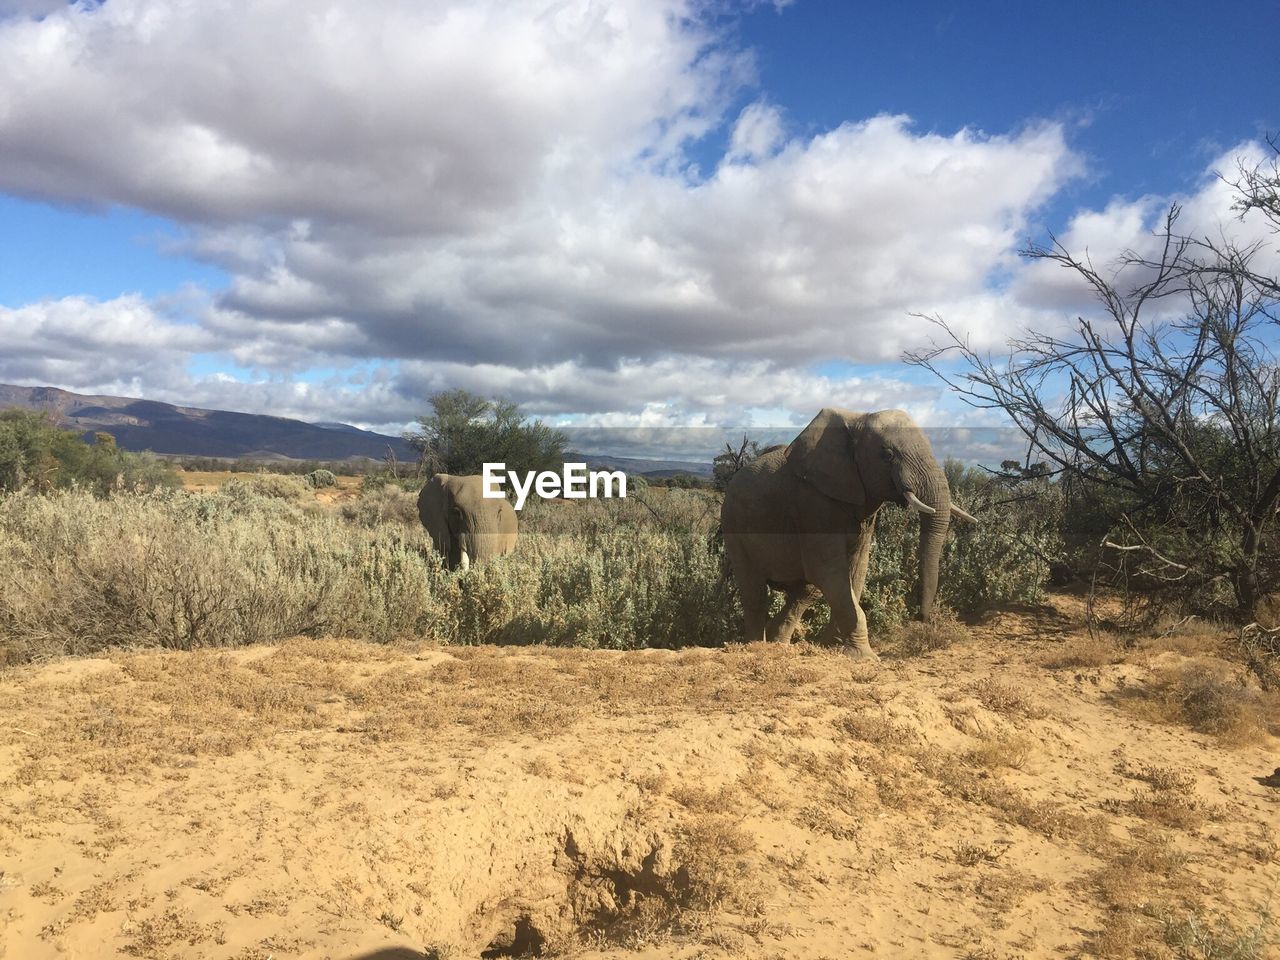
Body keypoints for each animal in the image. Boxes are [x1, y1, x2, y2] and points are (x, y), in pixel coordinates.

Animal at [721, 407, 977, 660]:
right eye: (888, 454)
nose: (920, 617)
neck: (858, 420)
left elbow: (855, 571)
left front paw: (833, 647)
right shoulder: (812, 504)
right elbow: (828, 571)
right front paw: (863, 657)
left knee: (805, 591)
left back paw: (779, 645)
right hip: (733, 526)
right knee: (754, 590)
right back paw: (756, 647)